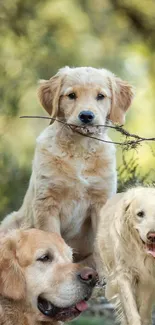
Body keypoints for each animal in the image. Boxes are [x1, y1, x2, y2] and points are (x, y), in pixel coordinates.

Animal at [0, 66, 134, 266]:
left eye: (100, 96)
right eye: (71, 95)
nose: (86, 116)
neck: (79, 149)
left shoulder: (101, 201)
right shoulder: (46, 204)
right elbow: (52, 239)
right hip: (10, 222)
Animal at [94, 186, 155, 324]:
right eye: (140, 214)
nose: (152, 236)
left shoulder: (149, 280)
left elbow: (143, 311)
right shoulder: (123, 274)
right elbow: (132, 311)